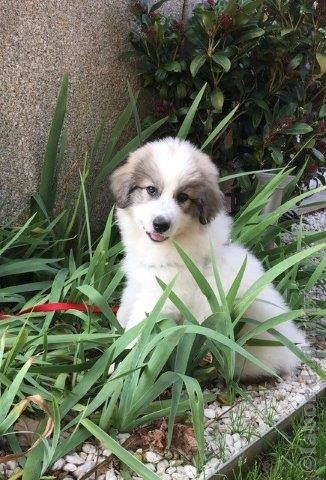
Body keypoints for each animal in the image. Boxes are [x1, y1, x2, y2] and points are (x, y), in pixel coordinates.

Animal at [109, 137, 306, 380]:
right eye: (152, 190)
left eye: (183, 197)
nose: (160, 224)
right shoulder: (137, 283)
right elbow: (124, 313)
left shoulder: (161, 295)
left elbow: (137, 330)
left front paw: (119, 367)